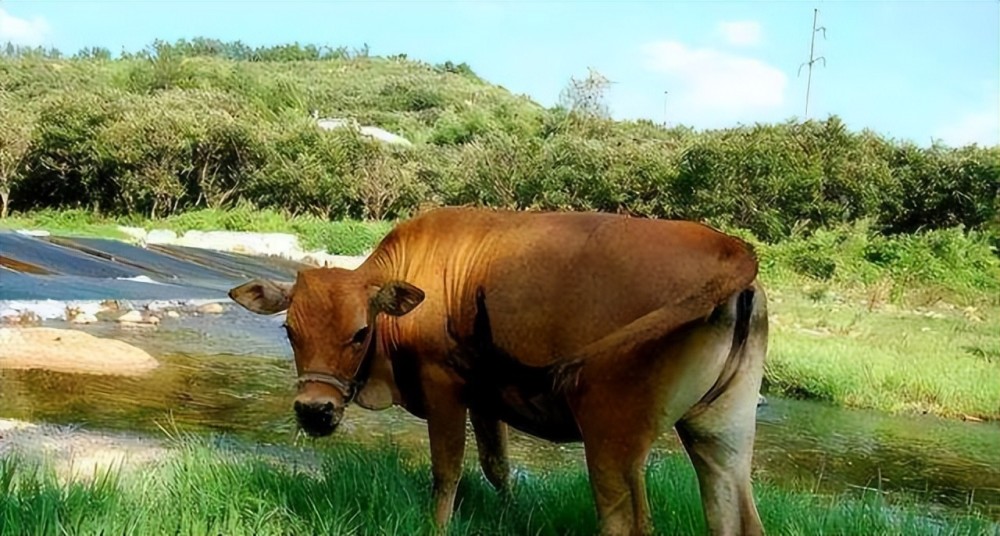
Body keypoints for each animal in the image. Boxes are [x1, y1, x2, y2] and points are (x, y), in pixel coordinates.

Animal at [230, 207, 768, 532]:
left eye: (360, 333)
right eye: (289, 331)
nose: (313, 411)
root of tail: (729, 246)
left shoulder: (443, 386)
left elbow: (447, 470)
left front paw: (438, 526)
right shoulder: (483, 398)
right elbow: (497, 466)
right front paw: (511, 515)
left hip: (612, 439)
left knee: (626, 521)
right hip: (721, 435)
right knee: (737, 514)